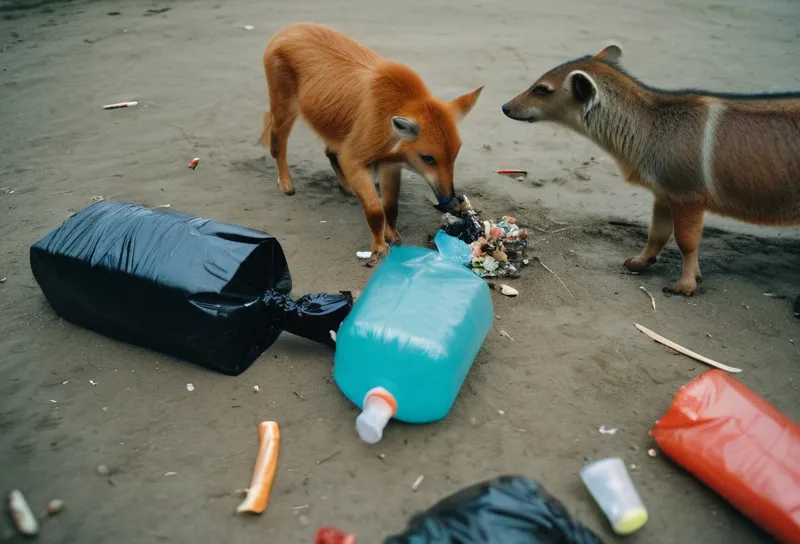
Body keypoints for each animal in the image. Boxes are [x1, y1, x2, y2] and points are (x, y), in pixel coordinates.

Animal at [260, 21, 482, 260]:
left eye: (455, 155)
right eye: (427, 158)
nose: (451, 201)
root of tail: (288, 30)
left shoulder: (390, 165)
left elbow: (391, 207)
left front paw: (391, 234)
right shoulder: (354, 160)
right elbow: (375, 210)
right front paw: (379, 246)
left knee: (329, 151)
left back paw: (346, 185)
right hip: (284, 109)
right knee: (278, 144)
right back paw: (286, 182)